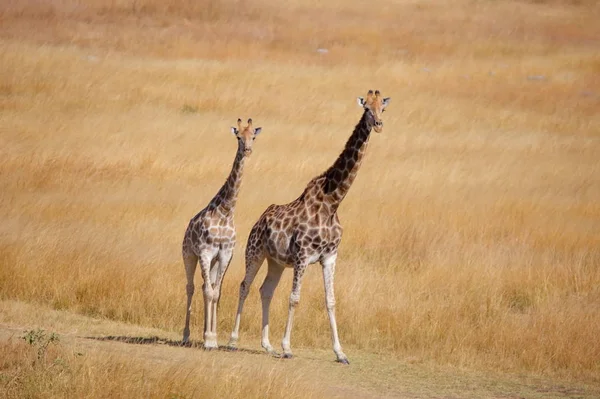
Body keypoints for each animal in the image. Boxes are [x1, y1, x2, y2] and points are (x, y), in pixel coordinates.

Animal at [180, 117, 260, 348]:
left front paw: (212, 337)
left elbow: (216, 292)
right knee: (191, 287)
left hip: (214, 261)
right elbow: (208, 291)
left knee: (207, 286)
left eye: (253, 136)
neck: (225, 211)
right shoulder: (205, 252)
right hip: (189, 255)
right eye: (238, 136)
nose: (248, 150)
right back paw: (186, 335)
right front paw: (208, 339)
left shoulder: (224, 254)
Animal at [227, 90, 392, 366]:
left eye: (383, 108)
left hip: (276, 262)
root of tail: (259, 220)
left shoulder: (330, 256)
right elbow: (295, 298)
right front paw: (287, 348)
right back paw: (232, 341)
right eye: (366, 108)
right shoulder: (303, 255)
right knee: (244, 286)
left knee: (265, 290)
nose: (378, 125)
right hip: (255, 252)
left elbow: (331, 300)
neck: (332, 202)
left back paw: (267, 345)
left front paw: (340, 353)